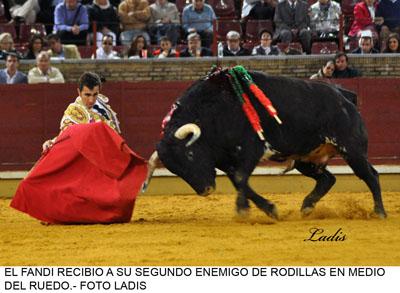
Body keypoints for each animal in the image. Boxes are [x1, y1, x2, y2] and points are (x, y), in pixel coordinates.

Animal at [142, 69, 386, 218]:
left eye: (190, 155)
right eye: (175, 170)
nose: (206, 190)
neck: (213, 111)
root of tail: (344, 96)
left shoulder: (251, 149)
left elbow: (241, 178)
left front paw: (243, 210)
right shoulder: (226, 162)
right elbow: (240, 182)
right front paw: (268, 209)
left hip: (352, 150)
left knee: (371, 175)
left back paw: (379, 212)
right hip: (305, 159)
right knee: (328, 179)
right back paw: (307, 207)